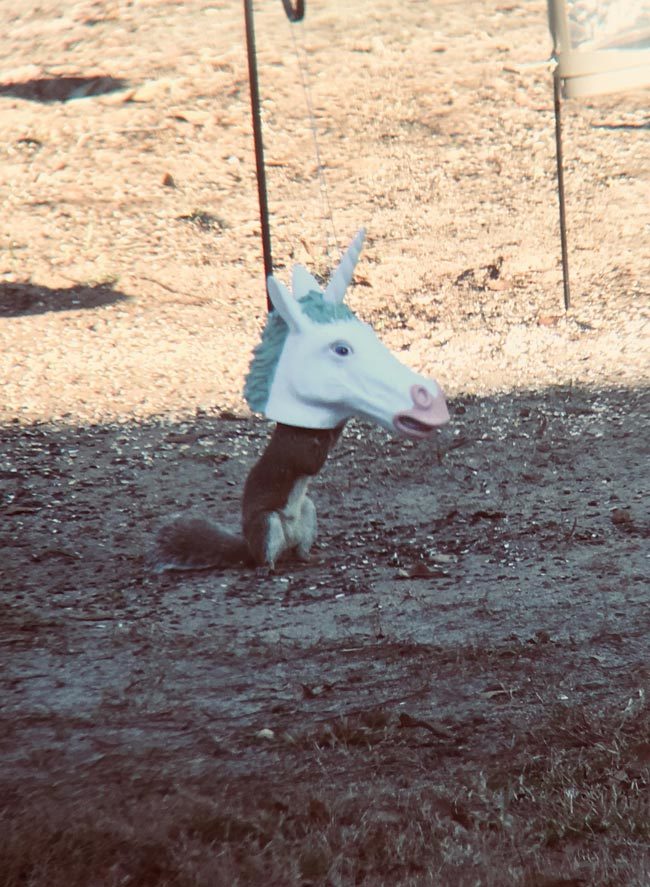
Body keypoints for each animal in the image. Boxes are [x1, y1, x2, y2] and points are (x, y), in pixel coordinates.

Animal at [153, 424, 344, 576]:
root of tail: (250, 549)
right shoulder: (295, 450)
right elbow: (312, 464)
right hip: (266, 522)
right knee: (266, 555)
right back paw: (266, 568)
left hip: (307, 512)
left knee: (300, 552)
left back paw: (313, 557)